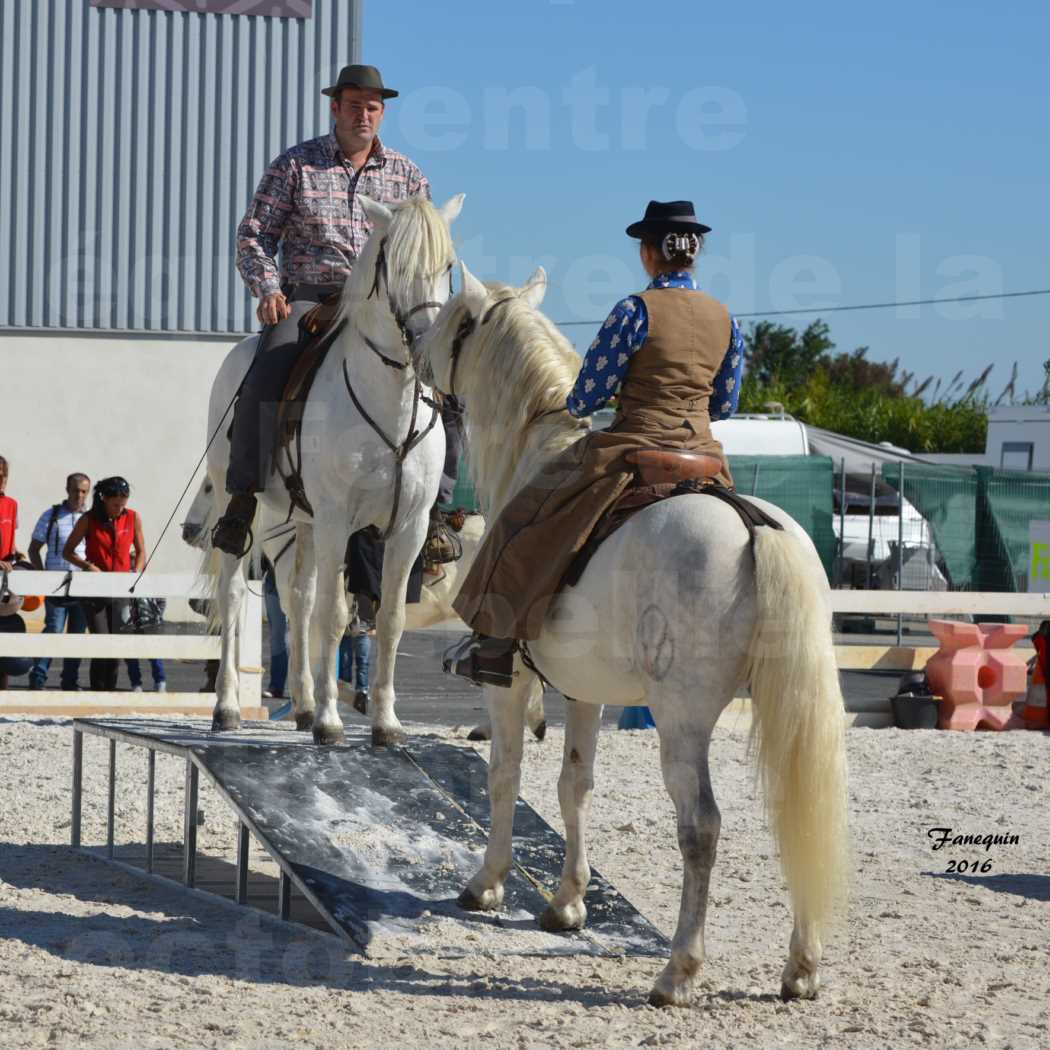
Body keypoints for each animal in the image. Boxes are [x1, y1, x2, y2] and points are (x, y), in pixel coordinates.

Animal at [204, 191, 464, 747]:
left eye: (448, 266)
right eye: (395, 265)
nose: (429, 350)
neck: (390, 405)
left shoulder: (407, 528)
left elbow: (388, 617)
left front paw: (386, 723)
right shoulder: (337, 521)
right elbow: (335, 614)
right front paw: (329, 721)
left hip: (298, 524)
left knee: (297, 602)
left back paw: (301, 705)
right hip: (251, 512)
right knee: (236, 596)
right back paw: (229, 708)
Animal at [413, 260, 848, 999]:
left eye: (451, 319)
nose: (414, 351)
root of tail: (753, 527)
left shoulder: (511, 683)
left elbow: (505, 774)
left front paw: (488, 884)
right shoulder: (584, 692)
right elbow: (575, 785)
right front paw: (567, 903)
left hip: (682, 721)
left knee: (701, 827)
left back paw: (678, 970)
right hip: (783, 709)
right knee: (798, 810)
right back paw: (802, 967)